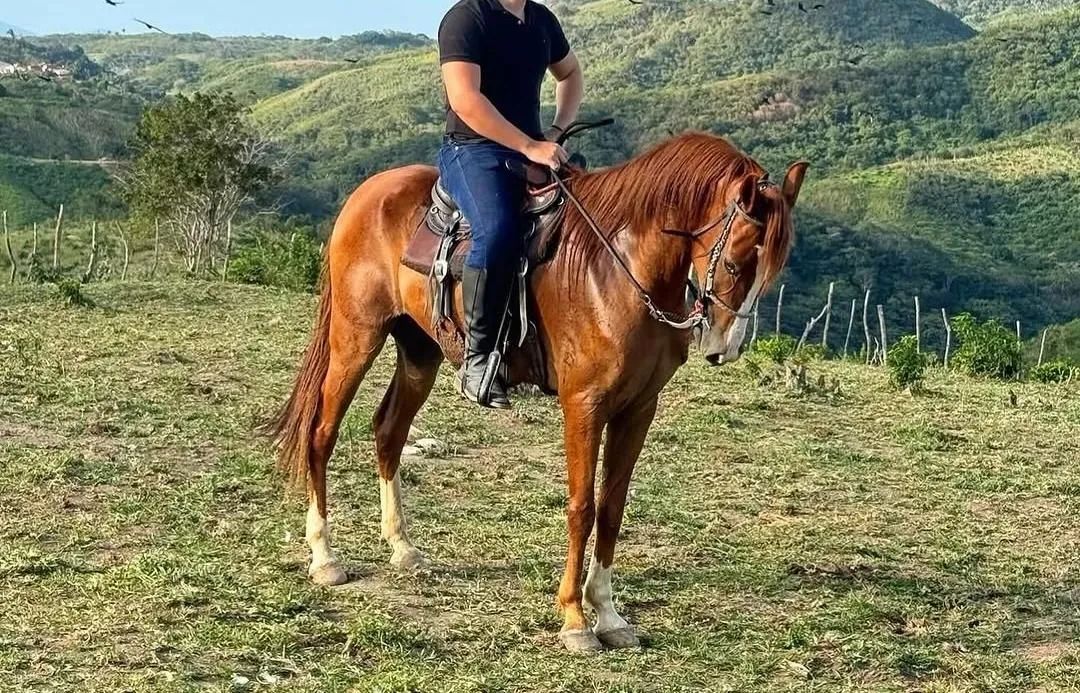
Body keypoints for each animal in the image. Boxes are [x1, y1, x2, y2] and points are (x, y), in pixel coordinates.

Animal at [268, 132, 807, 653]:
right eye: (736, 263)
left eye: (772, 272)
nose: (724, 346)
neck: (620, 269)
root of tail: (368, 192)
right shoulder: (583, 405)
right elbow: (582, 507)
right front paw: (574, 619)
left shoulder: (638, 408)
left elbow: (613, 506)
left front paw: (608, 614)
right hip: (355, 337)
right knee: (322, 433)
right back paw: (324, 556)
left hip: (420, 350)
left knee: (389, 432)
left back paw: (402, 546)